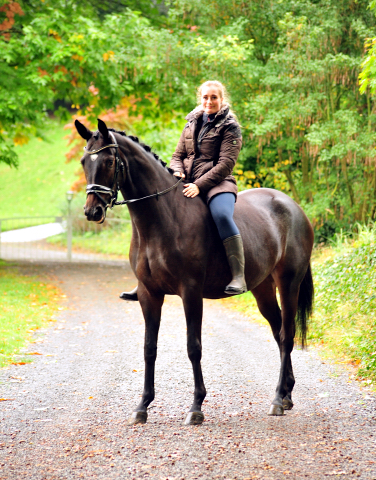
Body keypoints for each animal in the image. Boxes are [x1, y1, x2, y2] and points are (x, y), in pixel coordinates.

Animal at [75, 118, 312, 426]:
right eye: (84, 161)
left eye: (108, 161)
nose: (92, 212)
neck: (162, 219)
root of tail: (293, 206)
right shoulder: (149, 295)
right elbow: (149, 348)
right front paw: (142, 406)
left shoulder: (190, 293)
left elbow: (193, 347)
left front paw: (196, 407)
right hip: (262, 289)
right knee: (278, 332)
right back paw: (285, 395)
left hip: (288, 282)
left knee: (286, 335)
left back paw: (276, 401)